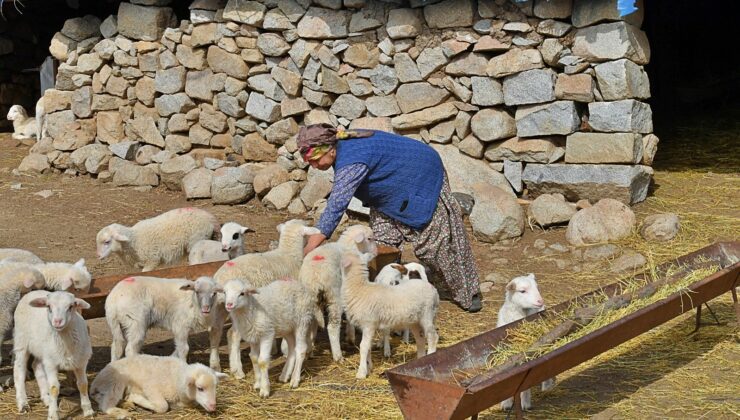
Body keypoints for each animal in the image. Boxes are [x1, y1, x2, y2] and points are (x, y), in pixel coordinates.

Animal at [13, 290, 93, 420]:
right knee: (19, 369)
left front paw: (88, 410)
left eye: (71, 306)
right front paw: (53, 414)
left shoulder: (81, 362)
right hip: (21, 340)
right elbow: (54, 388)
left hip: (42, 350)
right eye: (49, 306)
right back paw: (23, 403)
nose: (57, 321)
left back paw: (46, 398)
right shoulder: (51, 364)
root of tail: (32, 292)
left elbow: (83, 384)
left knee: (36, 366)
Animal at [89, 352, 225, 418]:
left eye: (215, 387)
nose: (213, 406)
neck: (175, 377)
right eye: (200, 388)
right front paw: (136, 398)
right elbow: (163, 407)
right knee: (105, 404)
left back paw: (126, 404)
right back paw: (123, 413)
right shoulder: (150, 387)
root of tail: (95, 383)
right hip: (116, 381)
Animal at [210, 220, 322, 378]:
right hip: (239, 308)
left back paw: (215, 365)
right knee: (233, 334)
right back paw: (238, 370)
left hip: (220, 306)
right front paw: (284, 350)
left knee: (215, 331)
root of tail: (221, 278)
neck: (288, 254)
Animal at [296, 225, 376, 362]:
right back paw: (338, 356)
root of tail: (314, 277)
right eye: (369, 238)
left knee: (310, 323)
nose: (376, 252)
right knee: (332, 327)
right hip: (334, 296)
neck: (350, 247)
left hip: (309, 299)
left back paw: (309, 350)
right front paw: (350, 336)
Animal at [498, 274, 556, 412]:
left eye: (537, 287)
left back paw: (547, 387)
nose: (540, 301)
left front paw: (525, 403)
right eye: (522, 291)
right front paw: (506, 403)